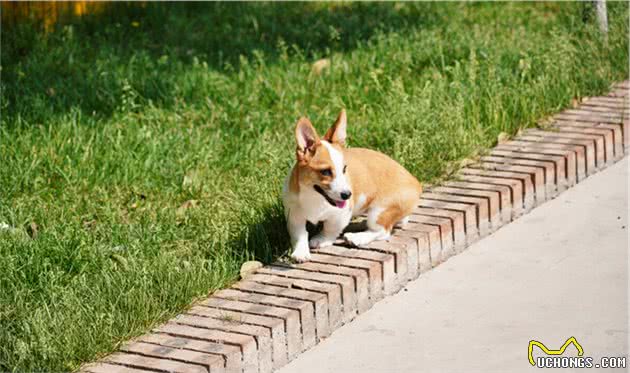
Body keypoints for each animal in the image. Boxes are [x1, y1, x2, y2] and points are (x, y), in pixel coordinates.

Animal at [282, 109, 422, 260]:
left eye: (344, 169)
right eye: (325, 172)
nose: (347, 195)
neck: (315, 198)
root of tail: (416, 184)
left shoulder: (340, 215)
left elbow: (330, 228)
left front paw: (321, 239)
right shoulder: (294, 215)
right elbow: (300, 234)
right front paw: (301, 252)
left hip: (379, 211)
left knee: (382, 231)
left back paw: (356, 238)